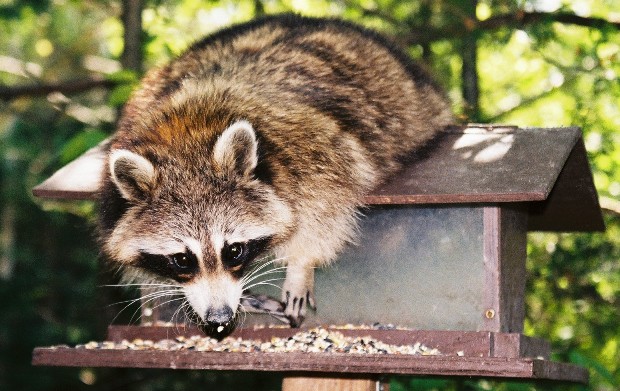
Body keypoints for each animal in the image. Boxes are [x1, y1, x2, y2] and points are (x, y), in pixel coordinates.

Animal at [99, 13, 452, 336]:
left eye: (233, 250)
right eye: (183, 260)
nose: (220, 316)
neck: (185, 133)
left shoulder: (316, 150)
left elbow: (328, 211)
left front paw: (301, 264)